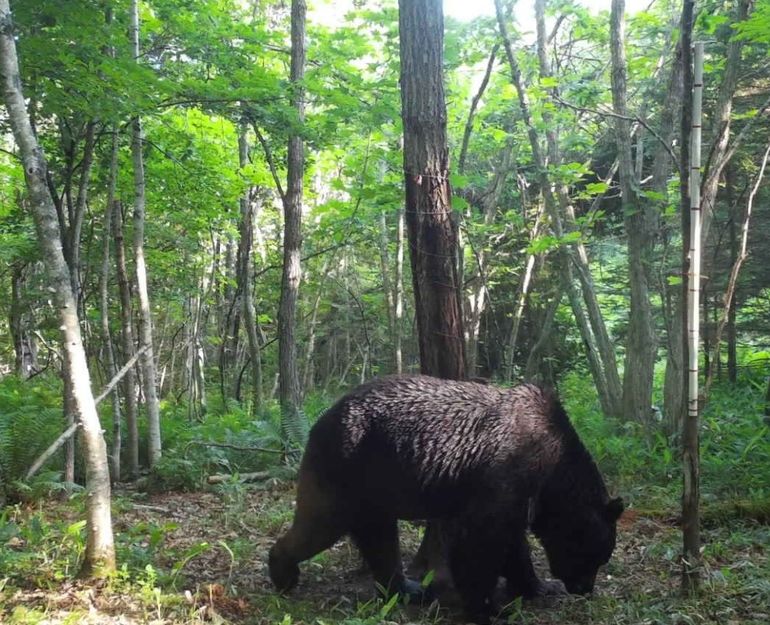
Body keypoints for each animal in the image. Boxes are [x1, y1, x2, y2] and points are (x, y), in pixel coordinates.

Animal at [269, 375, 623, 623]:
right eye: (597, 556)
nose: (584, 589)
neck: (552, 469)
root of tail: (321, 418)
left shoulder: (518, 496)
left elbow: (512, 543)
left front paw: (537, 586)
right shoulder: (504, 474)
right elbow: (480, 541)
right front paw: (489, 608)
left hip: (375, 488)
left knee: (380, 539)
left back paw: (408, 589)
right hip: (345, 467)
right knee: (320, 524)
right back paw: (282, 572)